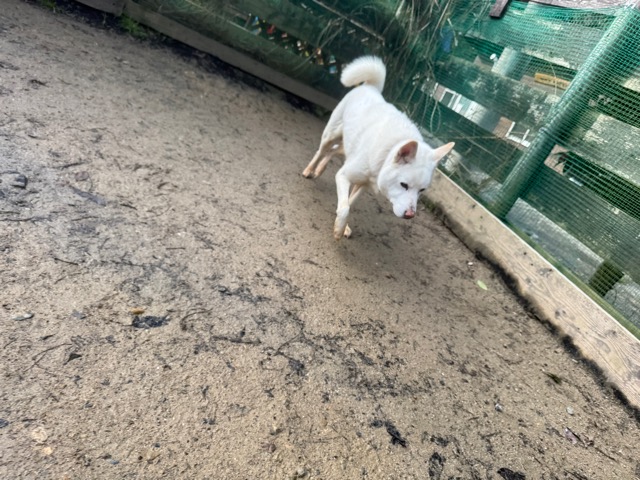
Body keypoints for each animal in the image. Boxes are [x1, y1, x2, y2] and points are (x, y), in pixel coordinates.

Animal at [303, 56, 455, 240]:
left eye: (422, 190)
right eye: (404, 185)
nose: (410, 215)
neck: (387, 153)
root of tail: (370, 87)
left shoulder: (363, 185)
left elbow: (349, 203)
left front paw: (343, 226)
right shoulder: (343, 176)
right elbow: (345, 207)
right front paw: (339, 229)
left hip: (348, 147)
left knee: (333, 151)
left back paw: (320, 170)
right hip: (331, 135)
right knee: (322, 151)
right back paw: (309, 170)